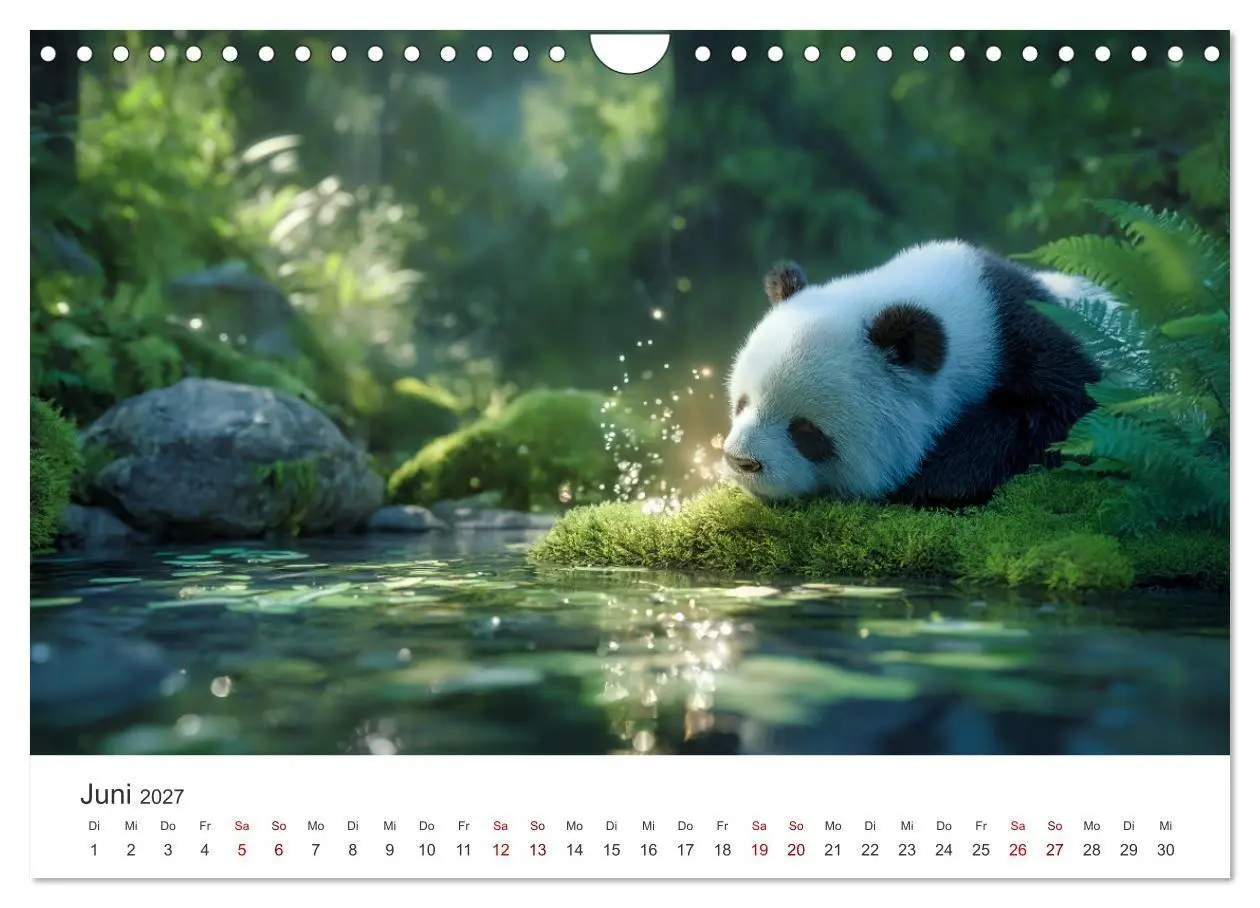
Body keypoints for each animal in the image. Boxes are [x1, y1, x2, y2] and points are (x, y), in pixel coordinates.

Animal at [720, 239, 1106, 508]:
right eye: (742, 404)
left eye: (806, 432)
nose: (741, 461)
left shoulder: (1035, 345)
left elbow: (1066, 416)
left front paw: (934, 477)